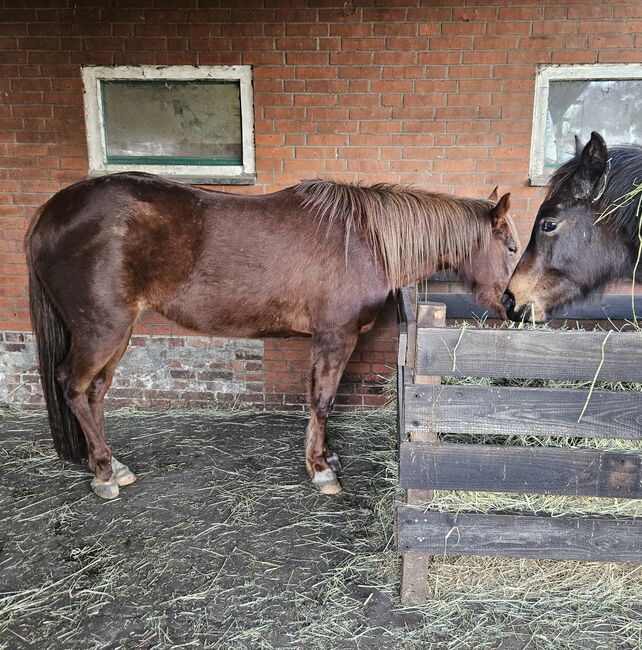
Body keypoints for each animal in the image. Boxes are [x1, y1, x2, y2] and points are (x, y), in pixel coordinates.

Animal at [26, 172, 516, 496]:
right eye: (511, 247)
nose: (516, 306)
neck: (363, 242)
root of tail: (50, 213)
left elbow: (321, 398)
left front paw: (325, 455)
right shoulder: (335, 336)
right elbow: (323, 400)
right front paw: (321, 469)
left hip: (117, 333)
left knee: (95, 392)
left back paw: (112, 464)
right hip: (102, 330)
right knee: (74, 386)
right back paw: (104, 474)